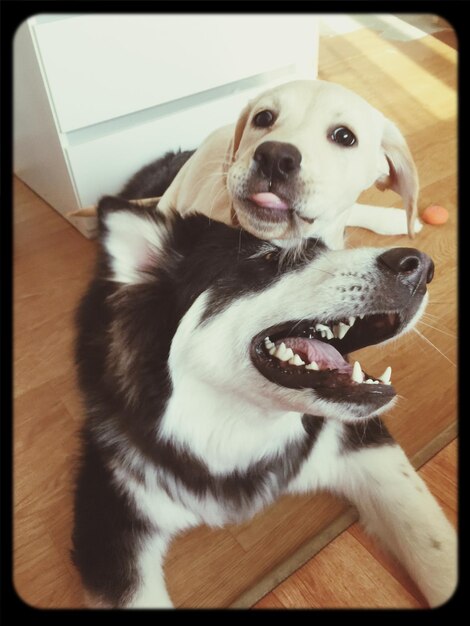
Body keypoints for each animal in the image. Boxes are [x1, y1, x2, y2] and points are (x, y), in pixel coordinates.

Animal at [72, 194, 456, 604]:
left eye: (324, 252)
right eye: (270, 259)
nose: (418, 266)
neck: (236, 431)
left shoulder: (361, 444)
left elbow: (433, 542)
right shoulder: (108, 516)